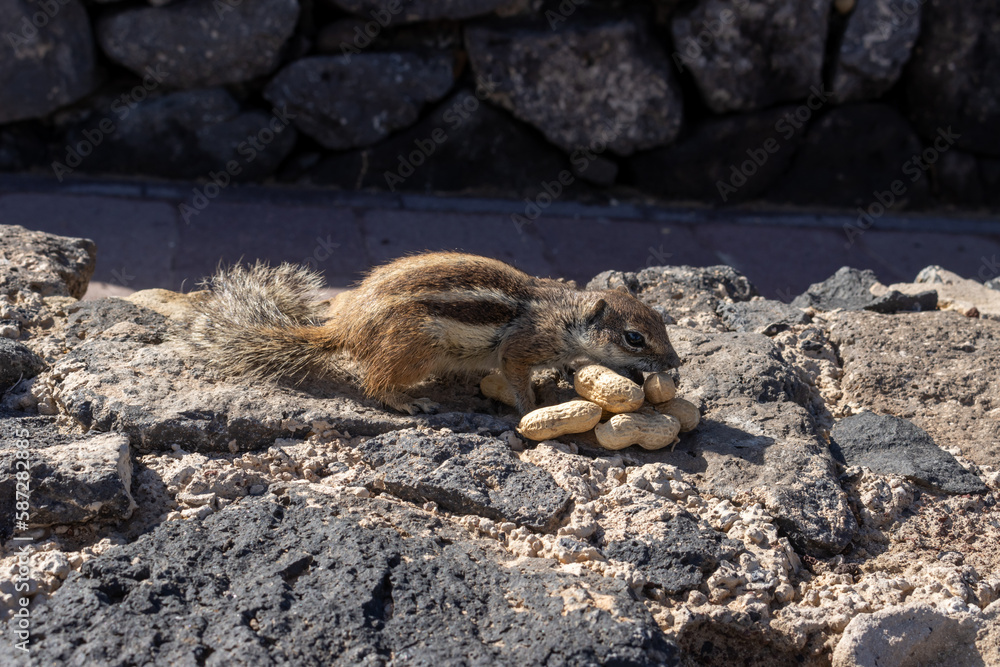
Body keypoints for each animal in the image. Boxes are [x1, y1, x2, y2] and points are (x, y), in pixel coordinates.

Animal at [188, 251, 681, 415]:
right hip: (417, 347)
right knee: (375, 383)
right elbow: (517, 377)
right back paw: (409, 402)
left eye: (662, 320)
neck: (565, 317)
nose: (676, 363)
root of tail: (347, 329)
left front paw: (564, 374)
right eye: (634, 338)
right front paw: (532, 407)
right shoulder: (520, 348)